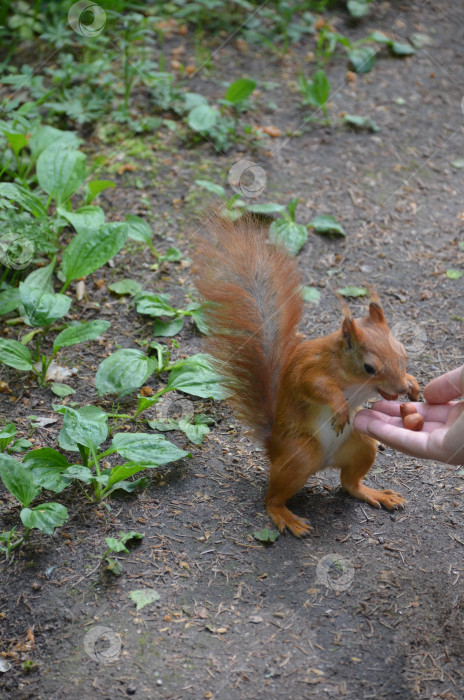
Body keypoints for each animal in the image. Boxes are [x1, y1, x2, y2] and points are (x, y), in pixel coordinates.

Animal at [192, 212, 420, 536]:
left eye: (403, 352)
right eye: (369, 368)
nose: (400, 387)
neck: (346, 369)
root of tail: (274, 447)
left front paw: (414, 384)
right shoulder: (311, 369)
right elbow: (317, 386)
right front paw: (339, 407)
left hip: (362, 445)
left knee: (349, 483)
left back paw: (375, 493)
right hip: (301, 454)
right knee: (271, 498)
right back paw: (286, 517)